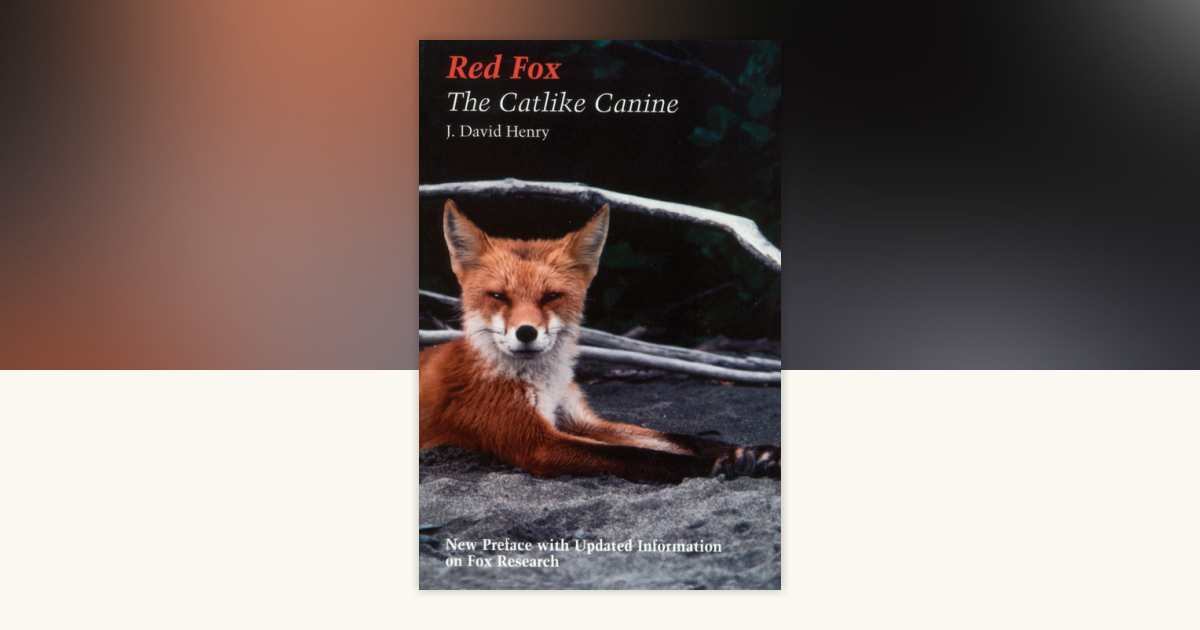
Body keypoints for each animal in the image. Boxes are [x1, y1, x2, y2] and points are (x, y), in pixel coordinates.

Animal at [419, 199, 780, 483]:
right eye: (498, 296)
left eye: (551, 296)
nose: (526, 333)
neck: (544, 384)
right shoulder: (535, 441)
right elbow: (639, 456)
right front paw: (715, 464)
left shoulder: (578, 419)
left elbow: (675, 438)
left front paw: (754, 452)